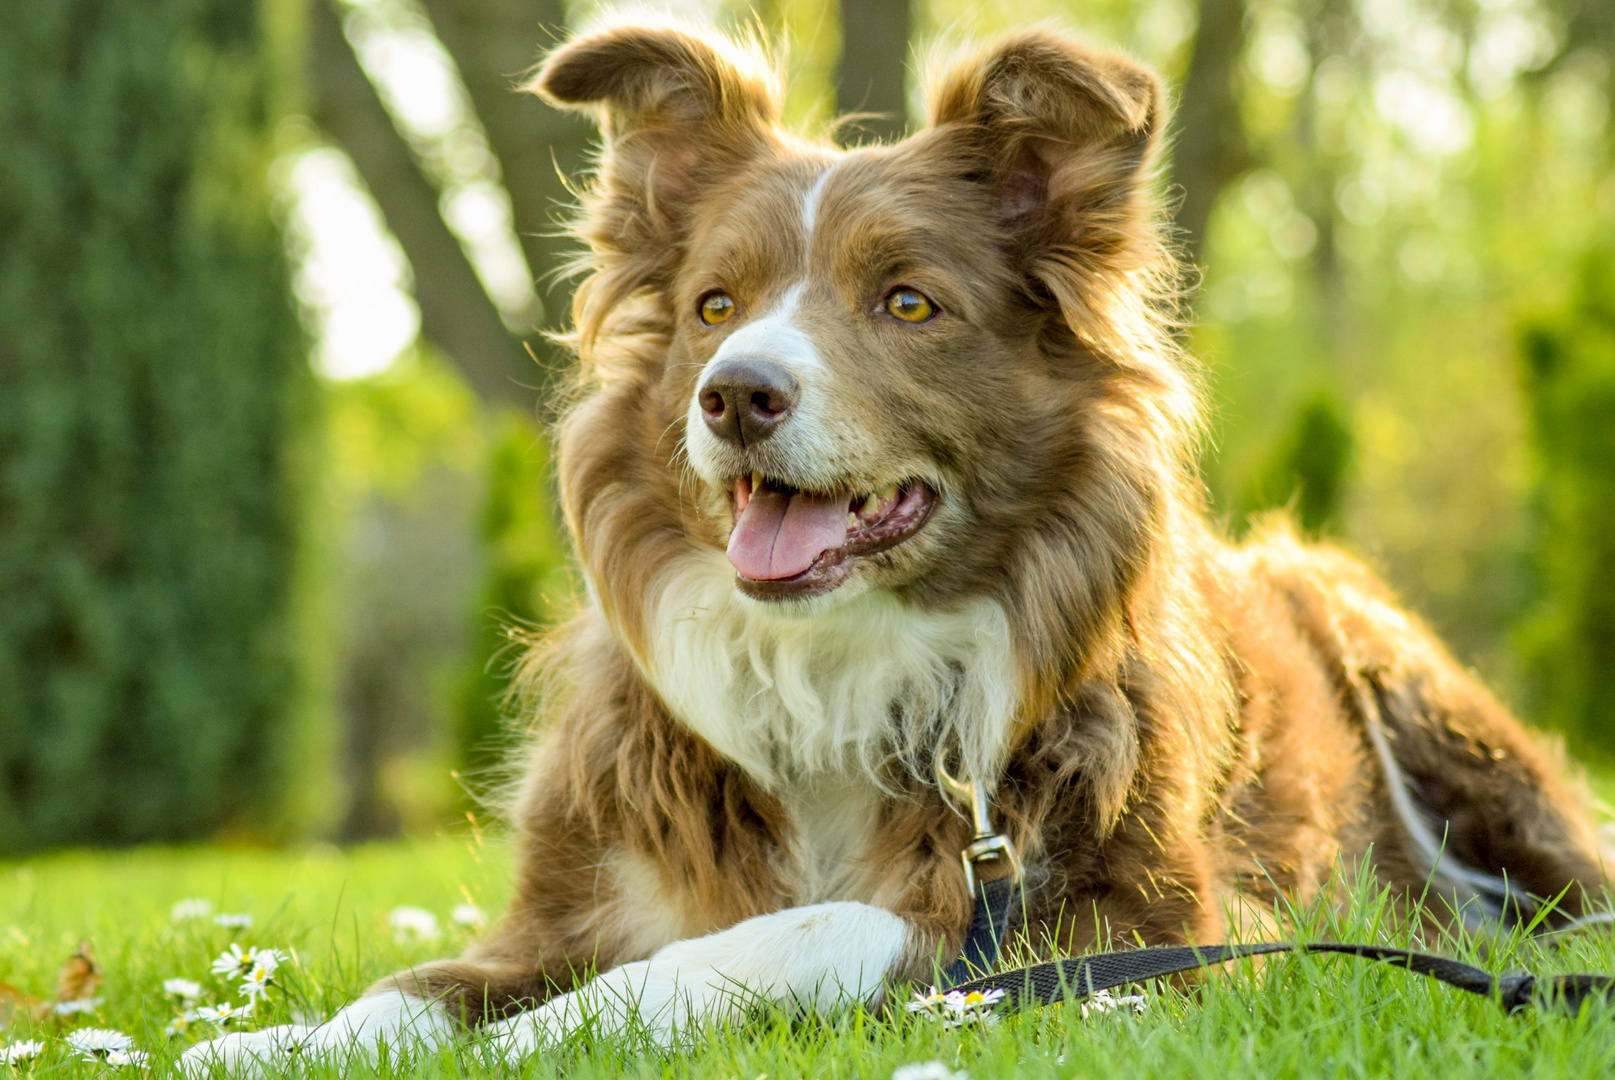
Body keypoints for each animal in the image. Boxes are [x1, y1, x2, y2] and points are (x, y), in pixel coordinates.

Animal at [185, 18, 1602, 1071]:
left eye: (907, 302)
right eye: (714, 306)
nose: (735, 394)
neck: (830, 662)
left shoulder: (1117, 931)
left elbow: (799, 929)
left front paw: (554, 1035)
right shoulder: (574, 898)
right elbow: (415, 988)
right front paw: (267, 1042)